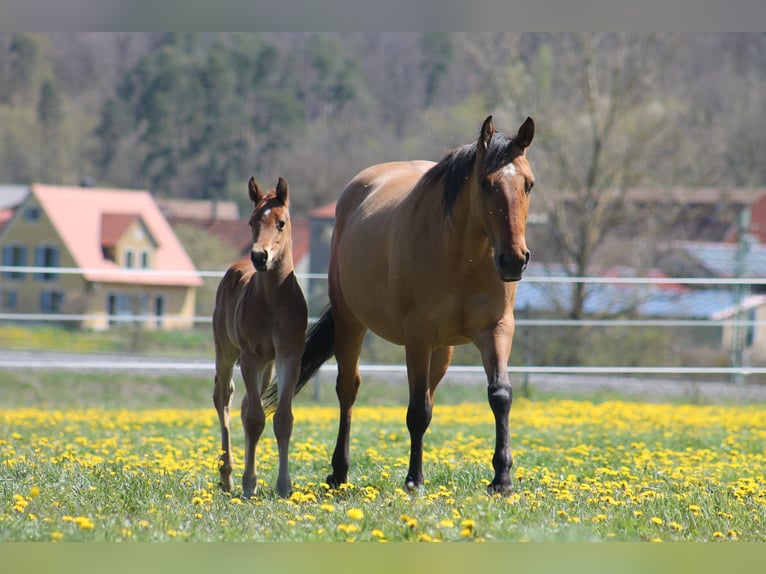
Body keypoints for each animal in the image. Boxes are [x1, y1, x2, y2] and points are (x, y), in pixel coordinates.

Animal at [212, 176, 308, 498]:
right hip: (226, 351)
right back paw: (227, 476)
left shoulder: (289, 356)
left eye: (281, 222)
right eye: (252, 221)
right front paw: (249, 484)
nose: (259, 256)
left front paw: (284, 486)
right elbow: (255, 419)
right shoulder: (249, 355)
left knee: (243, 405)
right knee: (224, 398)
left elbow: (282, 419)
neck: (274, 301)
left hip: (267, 365)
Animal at [264, 115, 535, 494]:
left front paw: (502, 479)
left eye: (529, 185)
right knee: (348, 390)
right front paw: (414, 480)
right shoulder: (417, 337)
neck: (462, 257)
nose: (513, 260)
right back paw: (339, 472)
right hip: (352, 324)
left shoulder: (496, 330)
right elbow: (417, 411)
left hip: (443, 349)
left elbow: (500, 395)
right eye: (485, 184)